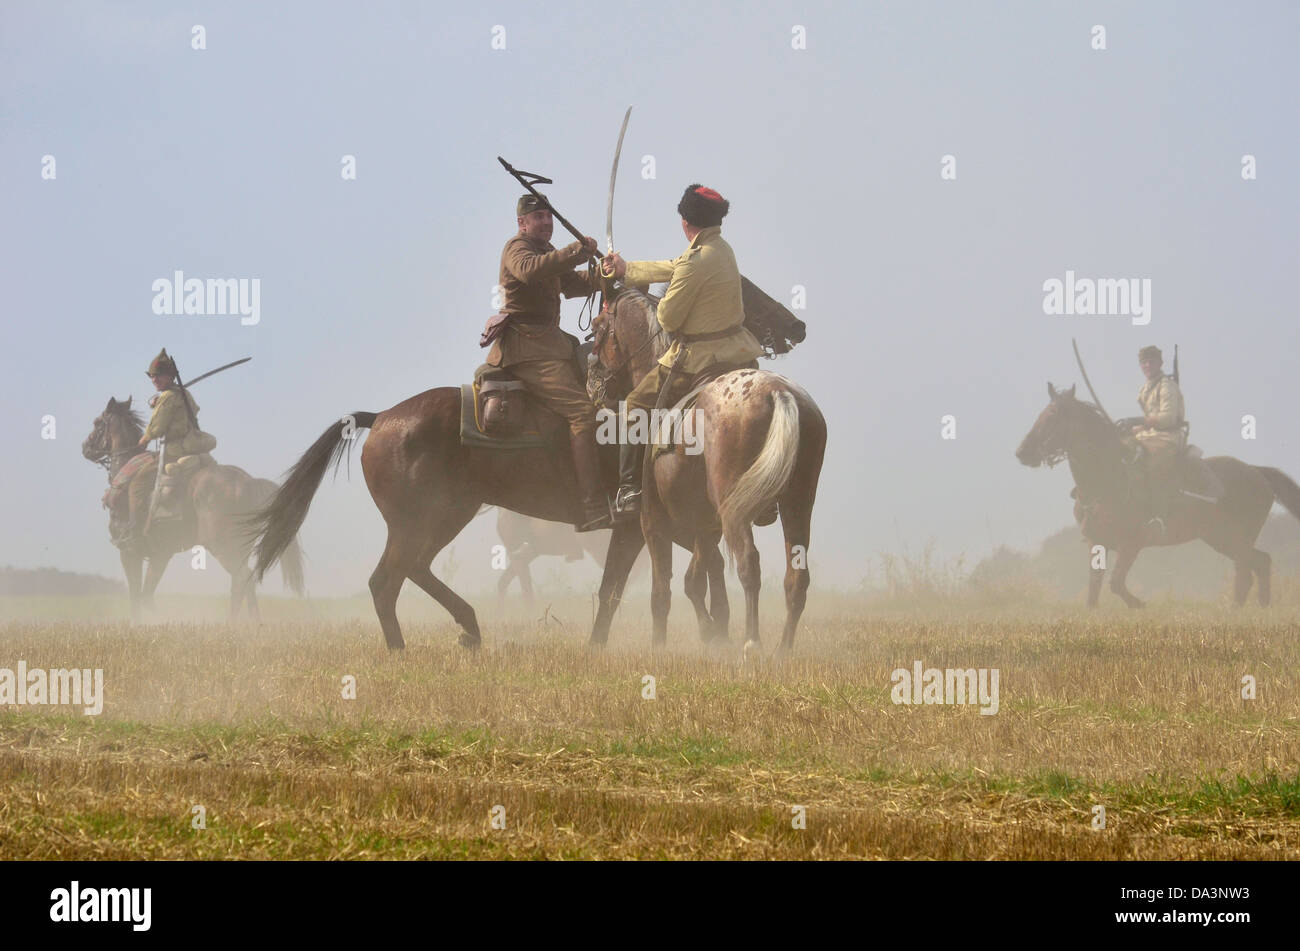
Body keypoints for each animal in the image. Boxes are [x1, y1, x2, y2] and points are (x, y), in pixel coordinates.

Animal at [80, 397, 304, 621]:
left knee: (242, 579)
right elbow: (146, 596)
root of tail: (249, 482)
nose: (85, 447)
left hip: (223, 547)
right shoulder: (160, 555)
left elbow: (136, 597)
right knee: (241, 583)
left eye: (97, 422)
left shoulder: (129, 552)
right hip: (240, 548)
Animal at [587, 289, 826, 654]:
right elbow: (696, 581)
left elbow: (662, 592)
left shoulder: (652, 524)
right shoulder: (705, 526)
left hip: (733, 512)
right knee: (796, 576)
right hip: (797, 504)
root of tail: (778, 392)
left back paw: (752, 642)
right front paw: (713, 635)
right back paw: (782, 650)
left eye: (599, 327)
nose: (593, 381)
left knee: (748, 564)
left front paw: (660, 647)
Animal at [1013, 381, 1300, 605]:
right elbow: (1093, 593)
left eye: (1053, 417)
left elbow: (1116, 584)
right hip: (1221, 539)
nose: (1022, 453)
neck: (1108, 480)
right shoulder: (1097, 545)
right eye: (1040, 415)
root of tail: (1257, 472)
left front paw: (1140, 605)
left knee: (1247, 572)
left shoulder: (1132, 544)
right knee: (1259, 563)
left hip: (1235, 539)